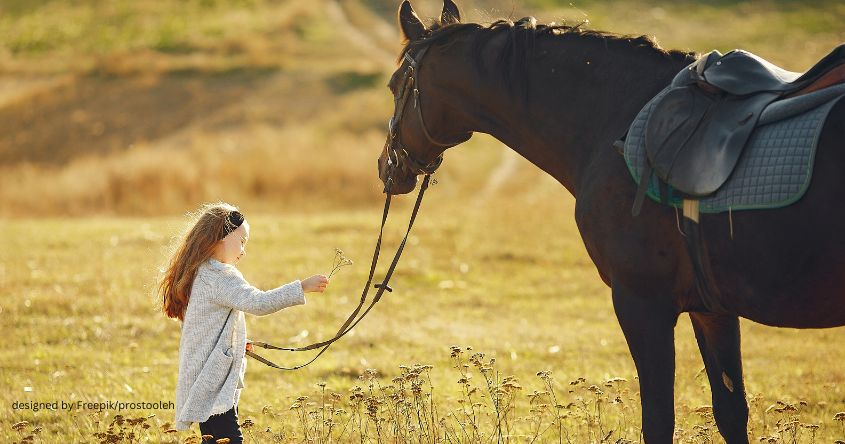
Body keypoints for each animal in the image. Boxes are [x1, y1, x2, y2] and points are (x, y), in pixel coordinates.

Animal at [377, 1, 845, 443]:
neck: (615, 121)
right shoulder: (712, 310)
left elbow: (658, 421)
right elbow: (731, 413)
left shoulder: (642, 303)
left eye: (395, 84)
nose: (386, 167)